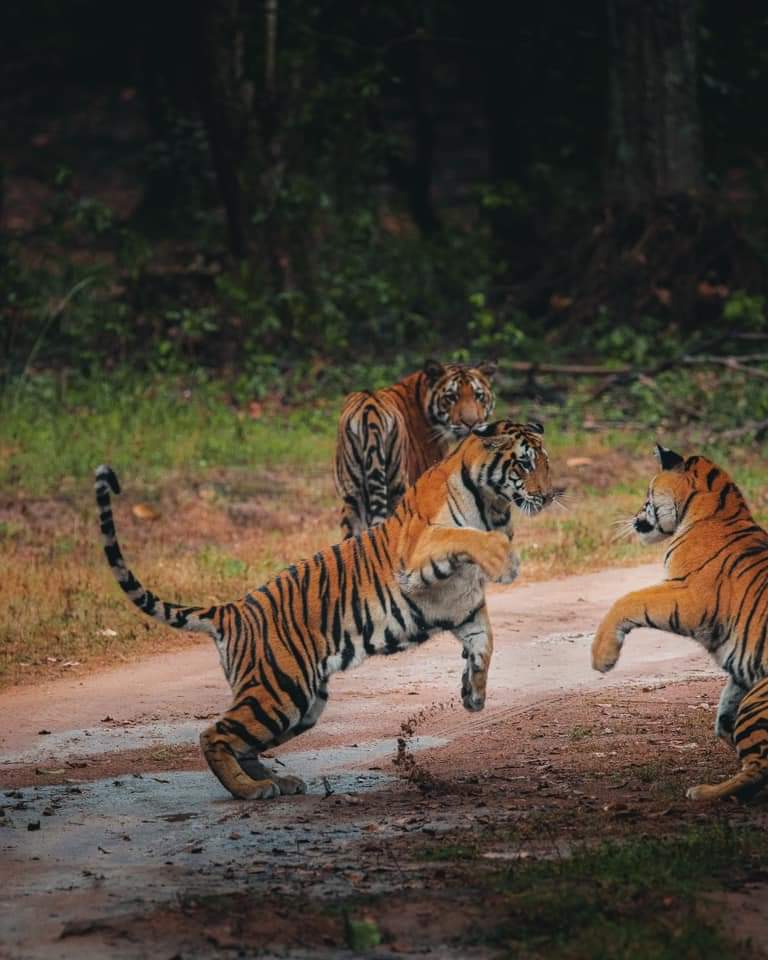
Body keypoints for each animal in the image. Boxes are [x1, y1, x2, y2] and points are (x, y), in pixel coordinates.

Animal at [96, 420, 556, 804]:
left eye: (546, 462)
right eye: (524, 463)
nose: (551, 494)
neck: (493, 504)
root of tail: (232, 610)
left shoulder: (464, 607)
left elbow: (484, 644)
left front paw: (473, 695)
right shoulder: (418, 551)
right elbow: (463, 536)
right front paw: (504, 558)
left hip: (300, 705)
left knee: (241, 743)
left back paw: (276, 782)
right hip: (279, 691)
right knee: (214, 734)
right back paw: (250, 790)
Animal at [332, 360, 496, 540]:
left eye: (478, 395)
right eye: (451, 397)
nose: (471, 423)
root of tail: (370, 410)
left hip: (351, 494)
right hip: (396, 487)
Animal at [592, 448, 768, 804]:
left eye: (647, 493)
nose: (635, 516)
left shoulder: (689, 597)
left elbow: (628, 601)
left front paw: (602, 656)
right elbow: (724, 715)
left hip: (761, 701)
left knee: (758, 768)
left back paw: (705, 792)